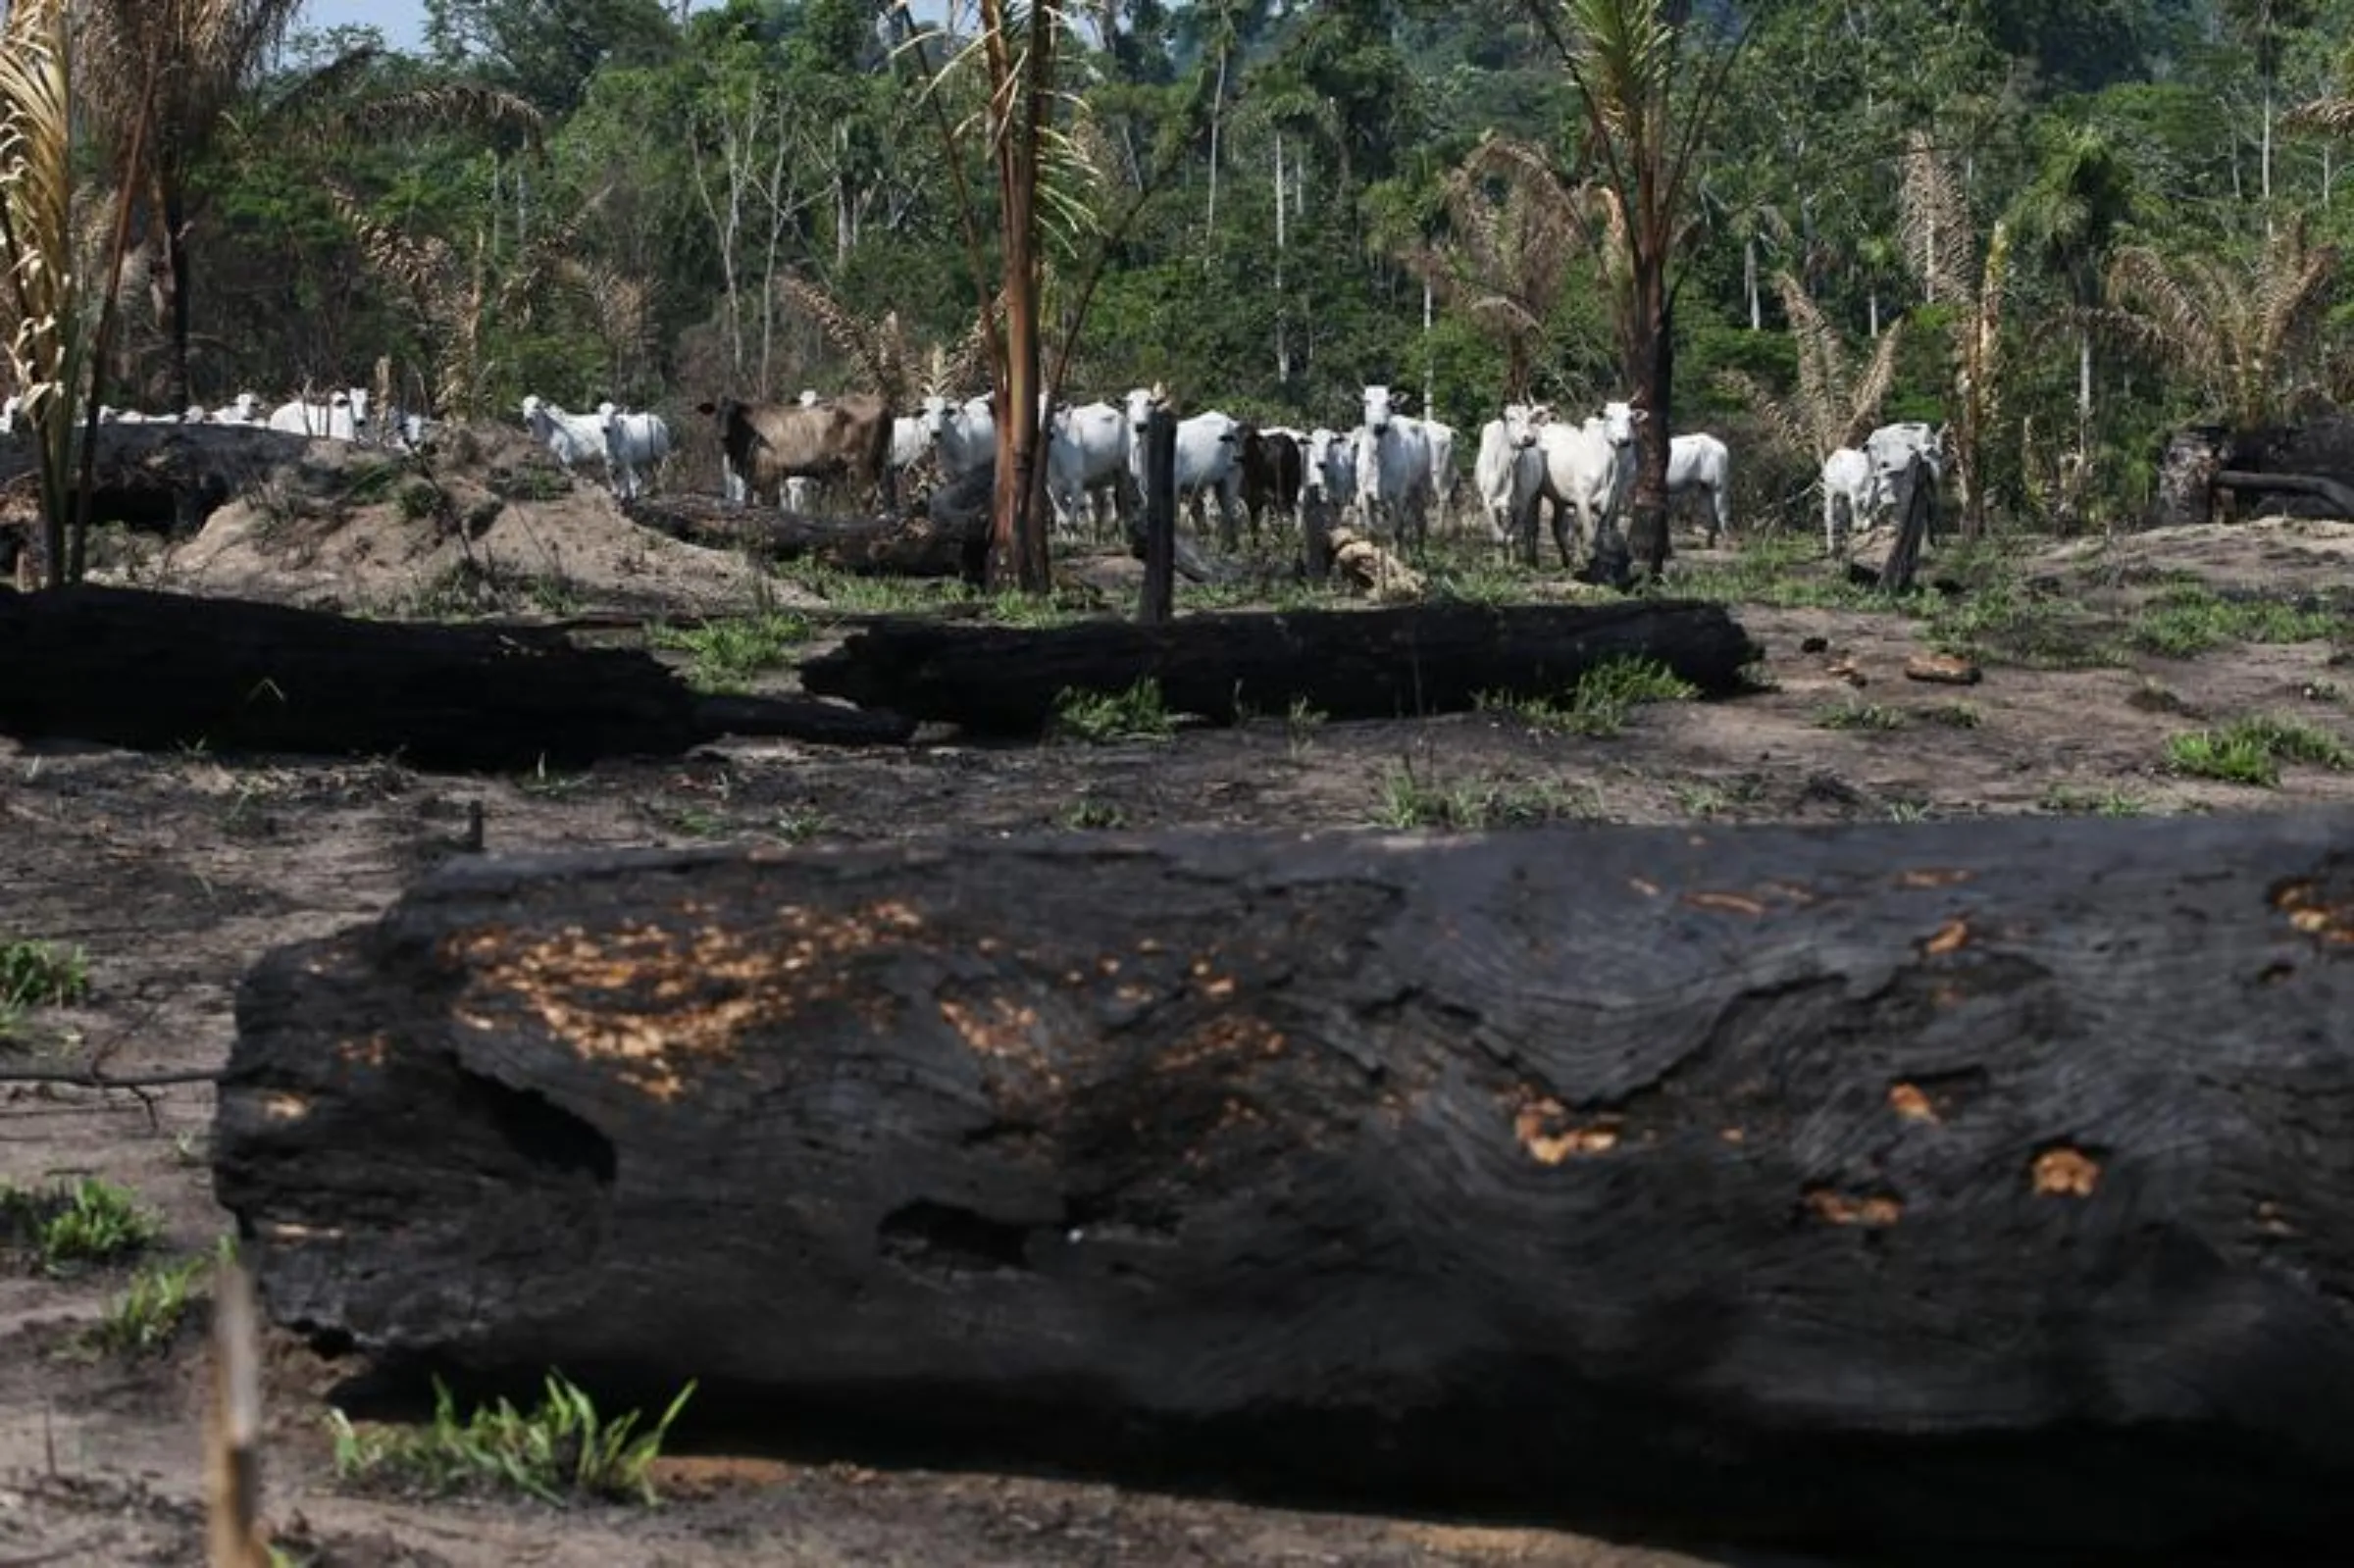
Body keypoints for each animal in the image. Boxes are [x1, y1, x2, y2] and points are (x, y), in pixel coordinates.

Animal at [691, 392, 895, 510]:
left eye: (734, 415)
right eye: (717, 413)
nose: (723, 434)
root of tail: (882, 403)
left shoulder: (768, 476)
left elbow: (770, 504)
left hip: (860, 462)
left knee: (867, 494)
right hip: (878, 461)